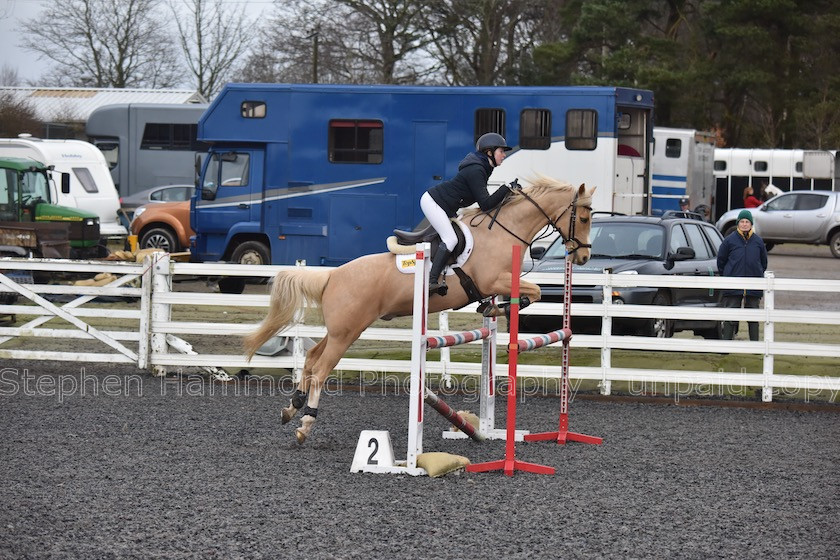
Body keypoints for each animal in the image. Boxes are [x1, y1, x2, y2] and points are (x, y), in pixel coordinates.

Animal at [243, 177, 592, 444]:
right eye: (586, 217)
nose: (584, 257)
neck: (504, 230)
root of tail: (333, 275)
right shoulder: (495, 279)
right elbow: (532, 292)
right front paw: (501, 309)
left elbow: (524, 293)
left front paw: (492, 308)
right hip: (346, 333)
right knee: (321, 369)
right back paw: (306, 423)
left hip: (342, 329)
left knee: (312, 358)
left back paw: (292, 407)